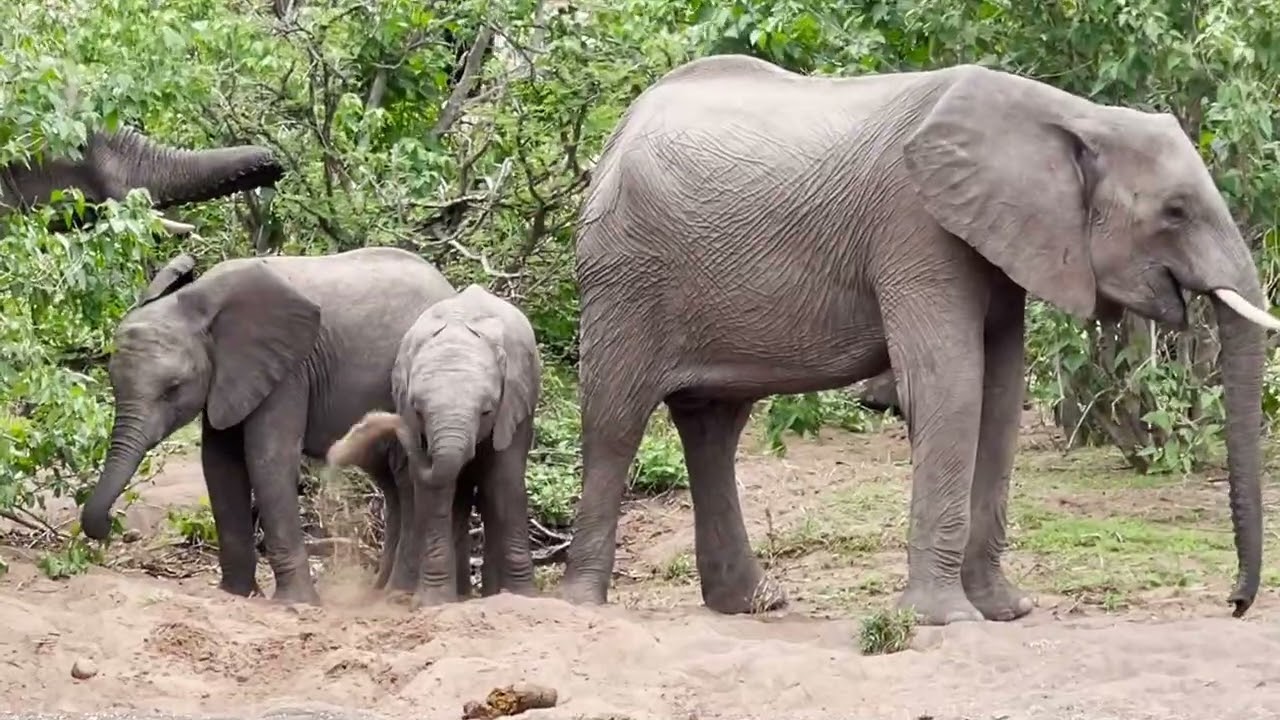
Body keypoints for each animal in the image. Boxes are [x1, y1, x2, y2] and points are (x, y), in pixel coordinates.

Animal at [79, 246, 458, 603]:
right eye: (112, 383)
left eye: (172, 389)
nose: (112, 525)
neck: (201, 302)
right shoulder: (231, 376)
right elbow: (220, 465)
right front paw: (237, 595)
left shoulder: (289, 371)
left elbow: (268, 459)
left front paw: (296, 603)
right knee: (392, 481)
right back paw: (381, 592)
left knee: (407, 478)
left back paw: (398, 593)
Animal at [324, 283, 541, 607]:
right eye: (417, 410)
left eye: (487, 411)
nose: (341, 447)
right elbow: (434, 491)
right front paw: (435, 601)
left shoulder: (514, 403)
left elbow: (505, 482)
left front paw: (523, 597)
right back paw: (462, 594)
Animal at [559, 54, 1280, 625]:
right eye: (1175, 212)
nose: (1235, 603)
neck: (1070, 115)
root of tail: (620, 129)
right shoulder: (916, 226)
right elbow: (949, 383)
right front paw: (947, 621)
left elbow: (999, 395)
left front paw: (1005, 611)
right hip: (625, 274)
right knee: (617, 420)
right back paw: (584, 606)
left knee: (714, 427)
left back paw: (754, 605)